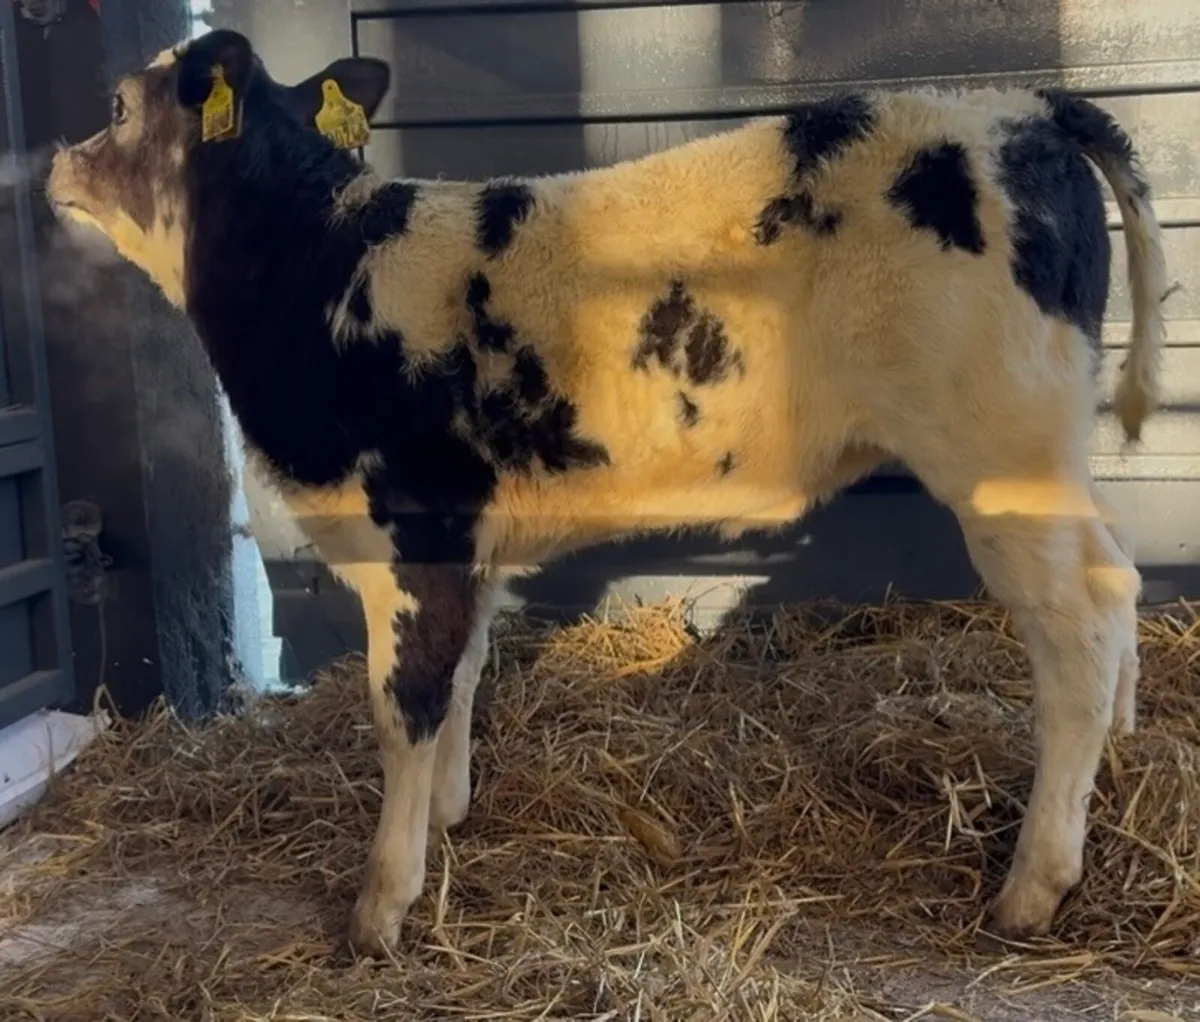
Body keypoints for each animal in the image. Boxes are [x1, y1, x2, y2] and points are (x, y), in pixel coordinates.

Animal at [46, 28, 1169, 958]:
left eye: (116, 105)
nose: (51, 158)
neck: (320, 272)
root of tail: (1020, 103)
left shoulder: (414, 529)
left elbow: (404, 703)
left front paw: (381, 906)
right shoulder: (469, 544)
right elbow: (461, 675)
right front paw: (450, 816)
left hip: (997, 448)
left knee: (1075, 624)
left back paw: (1034, 883)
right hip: (1049, 444)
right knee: (1117, 578)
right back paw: (1118, 754)